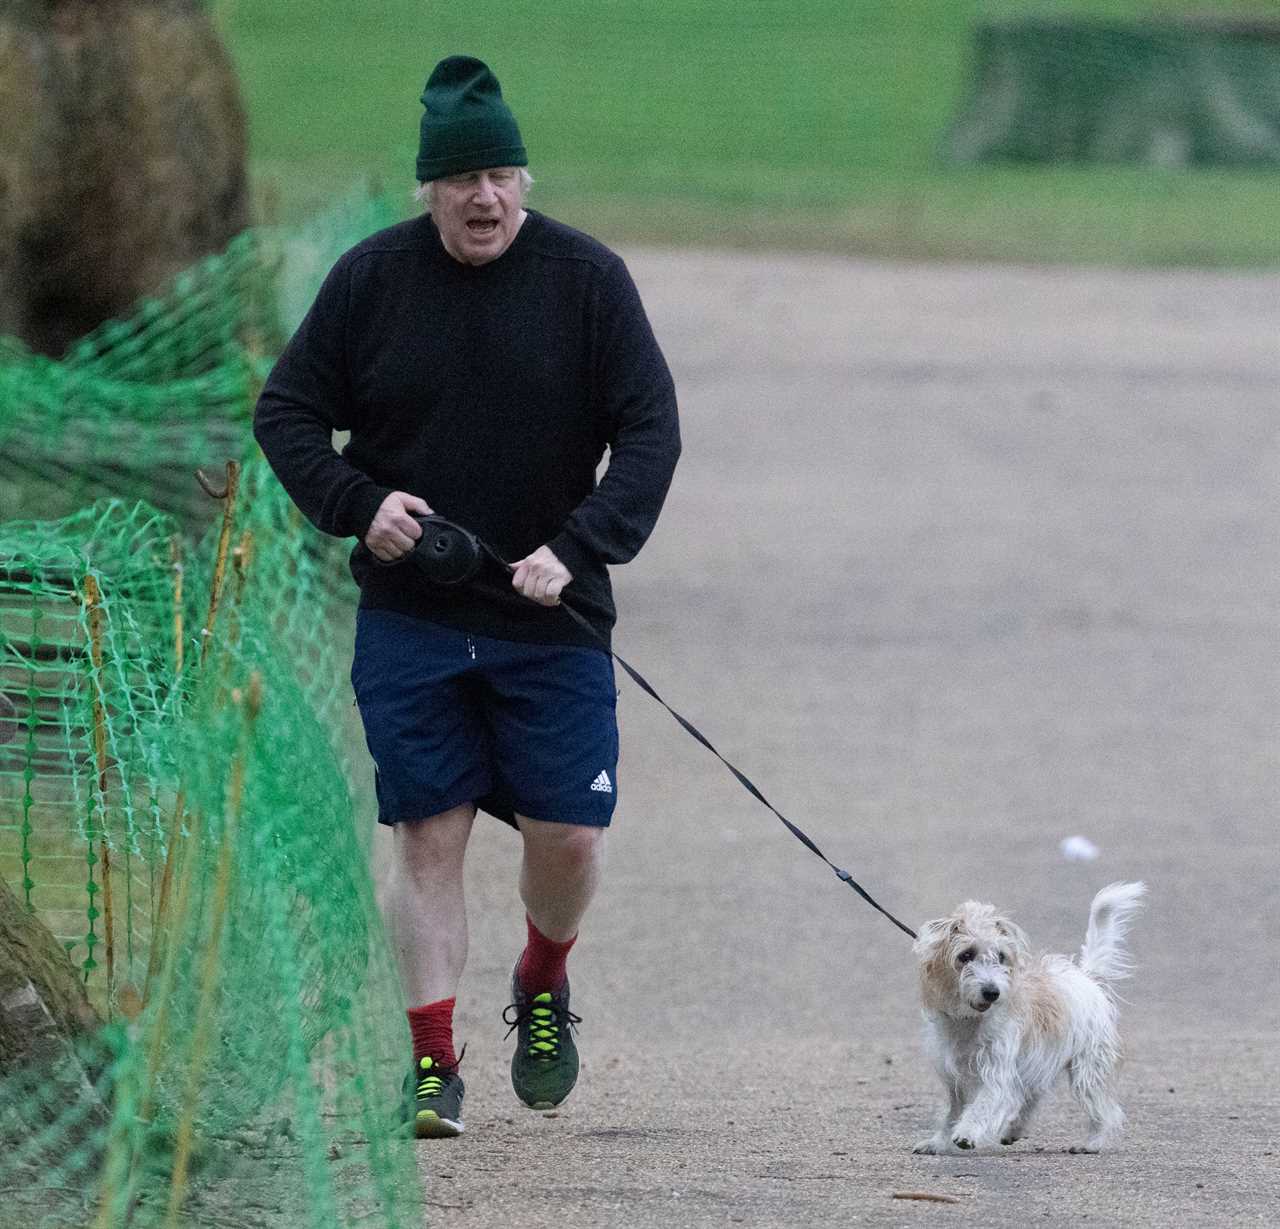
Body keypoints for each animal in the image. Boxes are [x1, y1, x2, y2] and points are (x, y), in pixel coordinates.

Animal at [911, 880, 1152, 1157]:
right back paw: (1014, 1130)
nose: (992, 992)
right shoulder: (955, 1078)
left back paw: (1093, 1142)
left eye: (1001, 956)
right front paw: (939, 1141)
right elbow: (953, 1112)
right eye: (966, 955)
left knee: (1105, 1109)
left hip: (1088, 1068)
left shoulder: (997, 1071)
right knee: (1033, 1096)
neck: (970, 1022)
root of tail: (1087, 978)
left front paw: (967, 1132)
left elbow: (984, 1103)